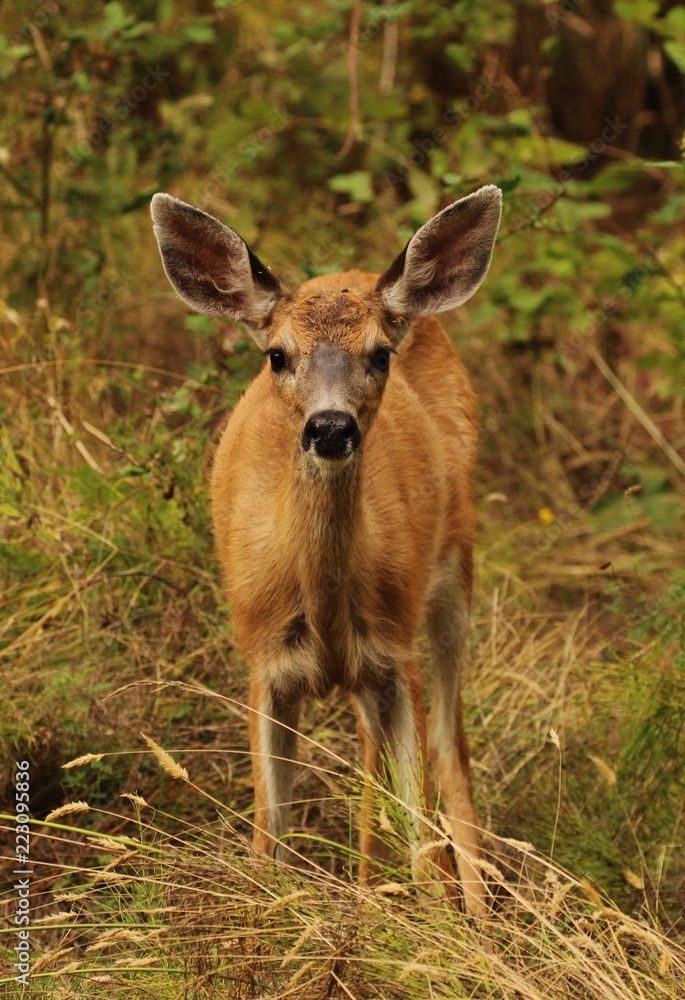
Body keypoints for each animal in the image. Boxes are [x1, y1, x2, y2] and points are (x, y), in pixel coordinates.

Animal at [150, 185, 502, 914]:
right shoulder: (263, 661)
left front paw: (435, 929)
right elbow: (267, 843)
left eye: (380, 354)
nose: (331, 427)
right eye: (277, 355)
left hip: (454, 567)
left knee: (449, 752)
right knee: (377, 762)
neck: (320, 595)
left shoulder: (395, 653)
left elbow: (425, 853)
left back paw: (481, 918)